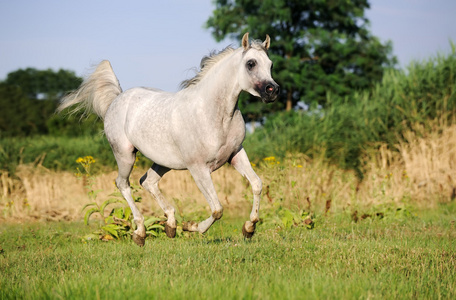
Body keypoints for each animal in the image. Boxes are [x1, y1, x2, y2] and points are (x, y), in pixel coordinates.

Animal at [58, 32, 280, 246]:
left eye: (270, 64)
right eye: (250, 63)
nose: (273, 91)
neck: (214, 113)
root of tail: (117, 99)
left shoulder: (235, 154)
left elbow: (257, 184)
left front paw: (249, 228)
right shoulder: (198, 168)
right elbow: (217, 209)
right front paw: (192, 227)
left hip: (163, 162)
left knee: (147, 181)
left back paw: (170, 226)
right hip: (125, 155)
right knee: (123, 184)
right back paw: (140, 233)